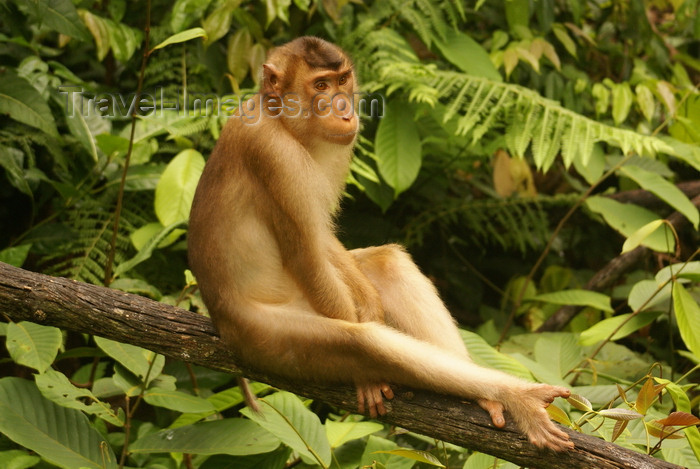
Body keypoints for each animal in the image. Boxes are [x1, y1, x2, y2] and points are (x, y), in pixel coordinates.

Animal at [187, 35, 576, 450]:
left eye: (342, 80)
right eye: (320, 86)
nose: (344, 111)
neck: (281, 121)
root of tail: (222, 321)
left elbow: (324, 241)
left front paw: (372, 304)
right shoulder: (276, 157)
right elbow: (307, 254)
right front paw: (367, 377)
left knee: (386, 262)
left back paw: (487, 395)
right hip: (266, 341)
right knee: (362, 342)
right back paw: (514, 396)